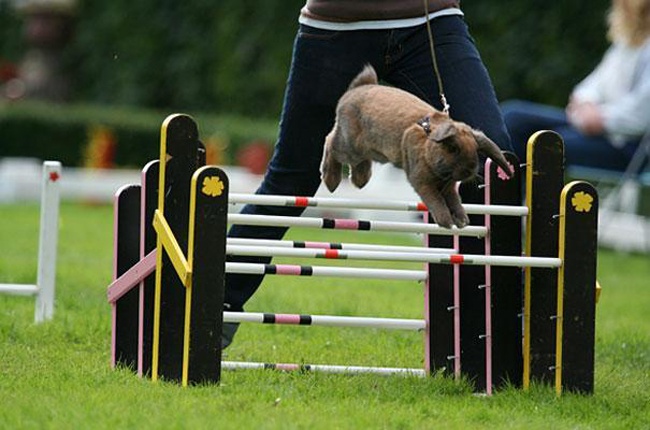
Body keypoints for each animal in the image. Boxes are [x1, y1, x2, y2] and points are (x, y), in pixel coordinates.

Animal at [318, 64, 512, 228]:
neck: (429, 145)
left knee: (358, 160)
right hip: (350, 146)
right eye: (453, 149)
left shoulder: (448, 187)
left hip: (370, 150)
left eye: (475, 151)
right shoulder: (422, 181)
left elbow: (453, 200)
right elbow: (435, 200)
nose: (470, 171)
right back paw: (331, 181)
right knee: (330, 142)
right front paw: (446, 222)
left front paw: (462, 220)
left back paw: (360, 180)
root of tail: (356, 90)